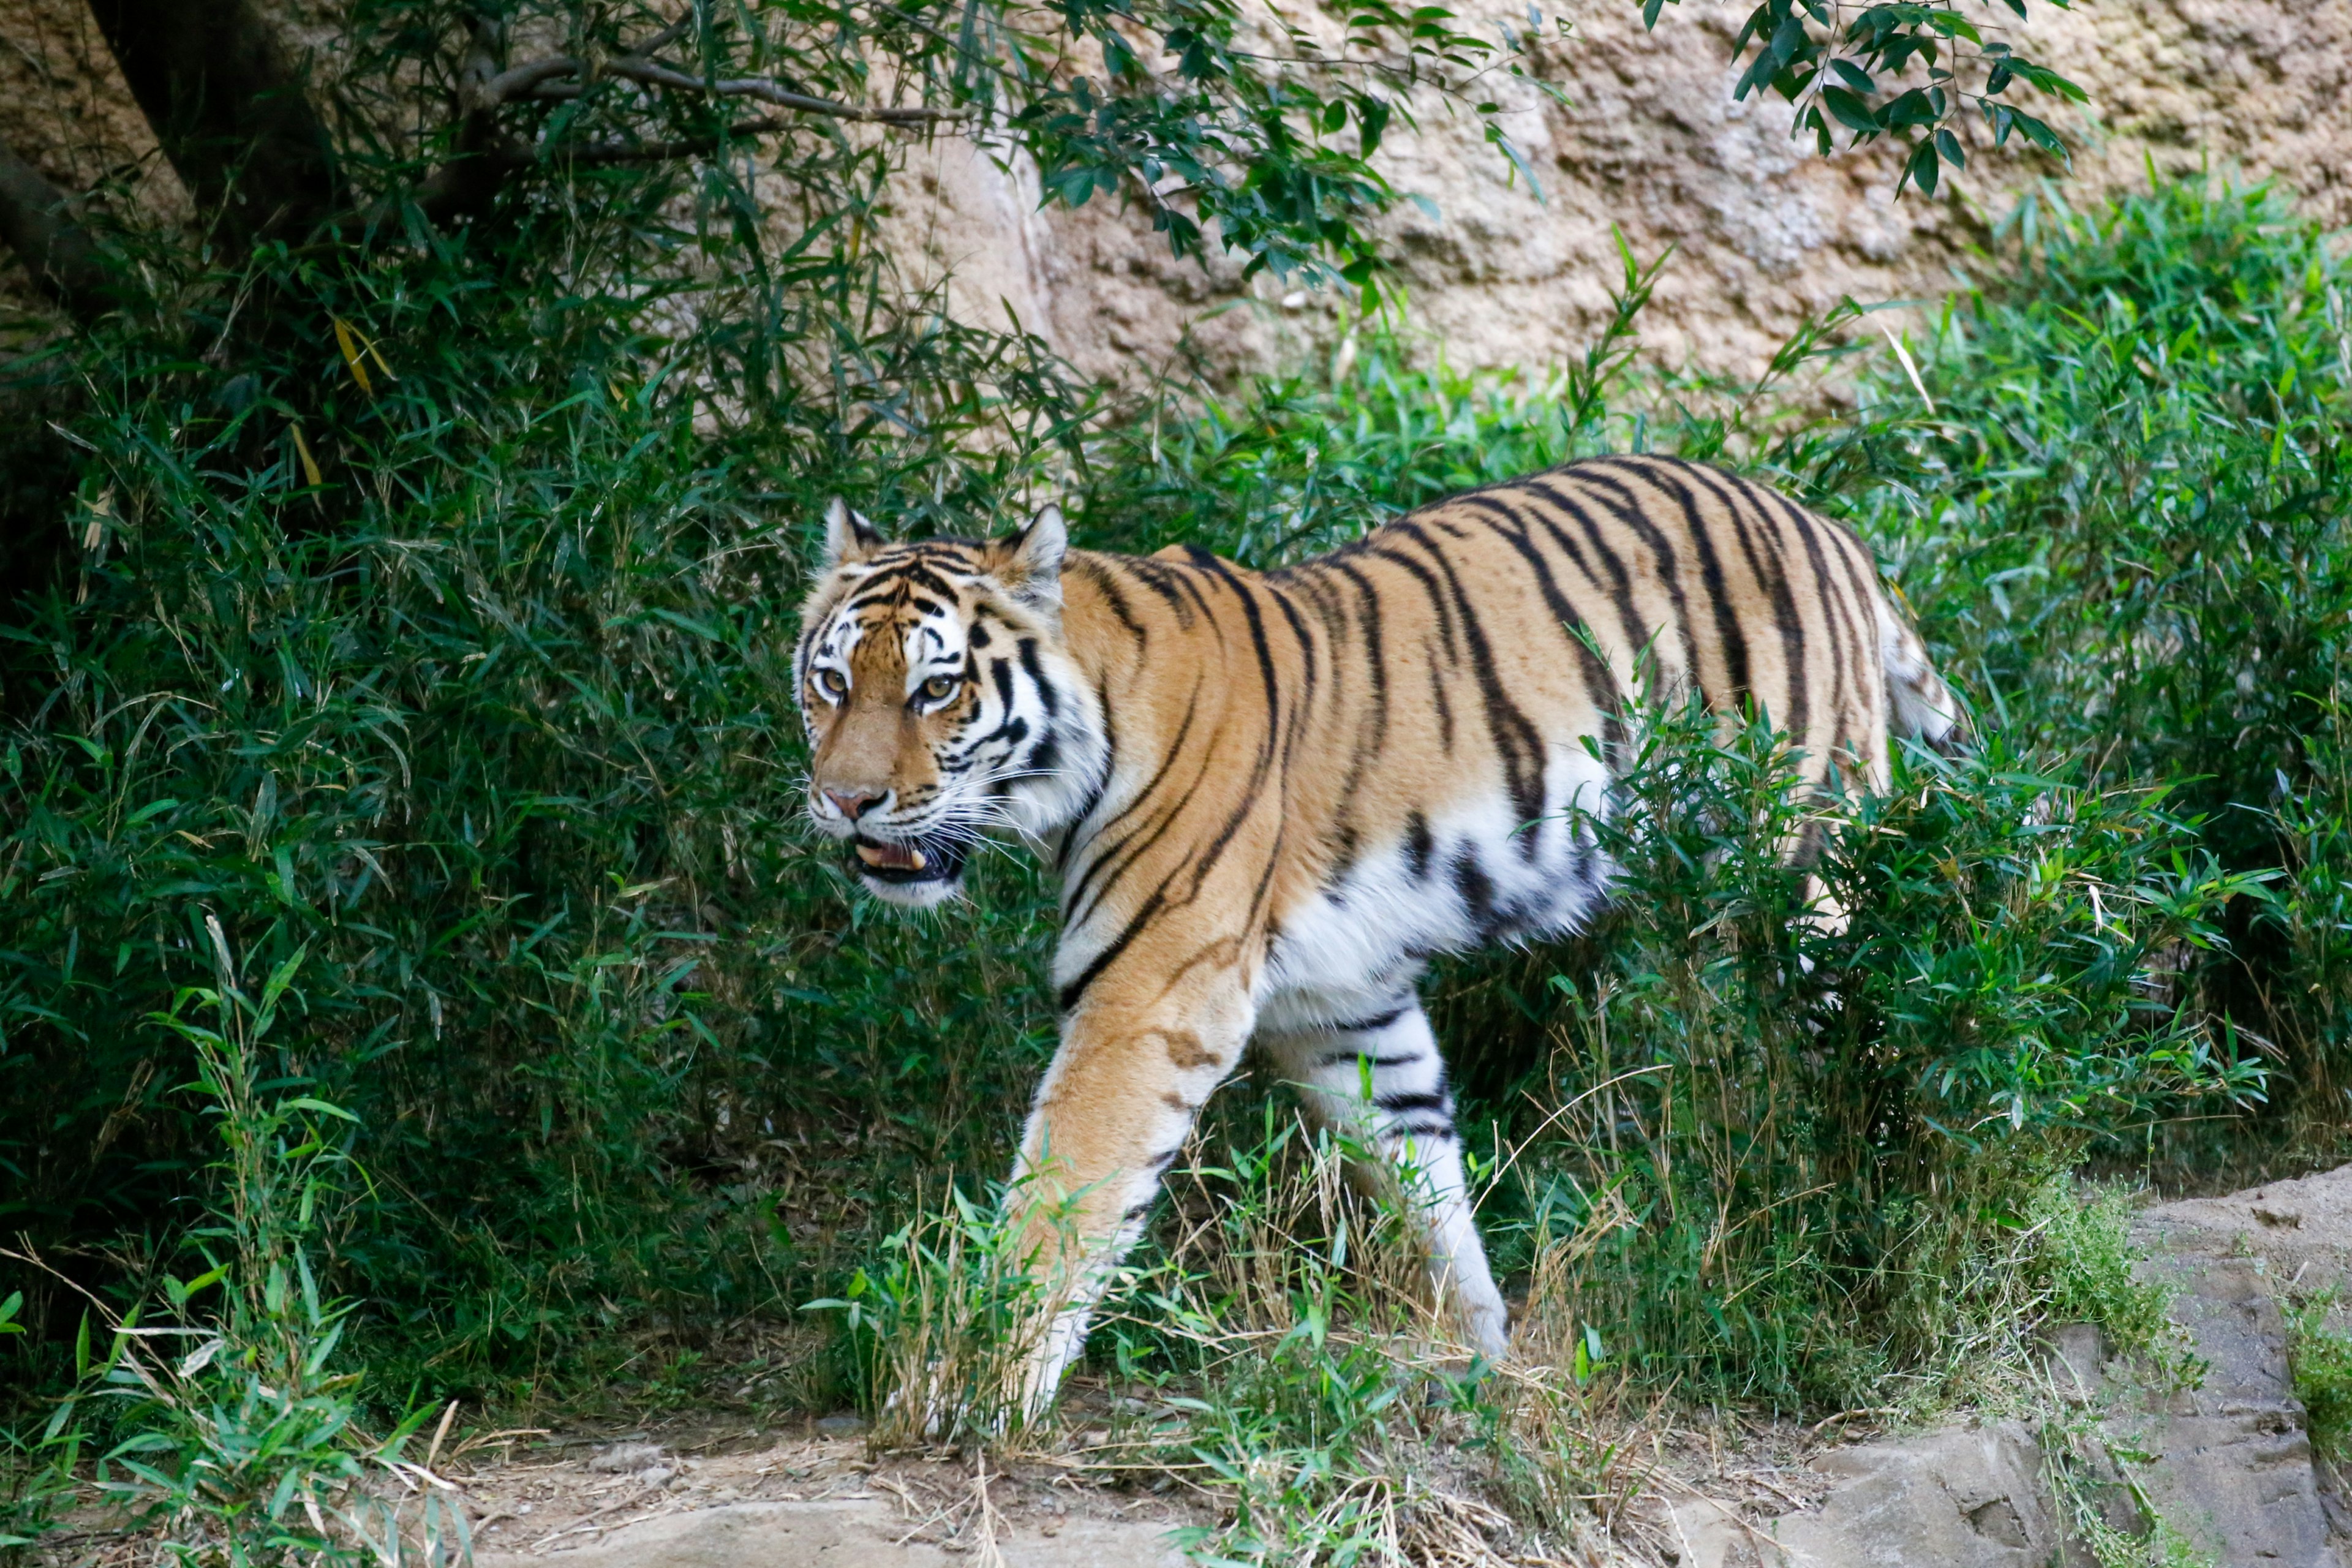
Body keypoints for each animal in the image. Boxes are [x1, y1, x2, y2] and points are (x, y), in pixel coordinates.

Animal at [799, 453, 1956, 1420]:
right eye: (832, 682)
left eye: (936, 688)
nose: (847, 804)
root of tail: (1828, 529)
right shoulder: (1339, 1008)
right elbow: (1422, 1181)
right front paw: (1485, 1359)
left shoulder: (1149, 998)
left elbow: (1063, 1201)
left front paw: (970, 1389)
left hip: (1801, 865)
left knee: (1864, 1045)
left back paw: (1865, 1222)